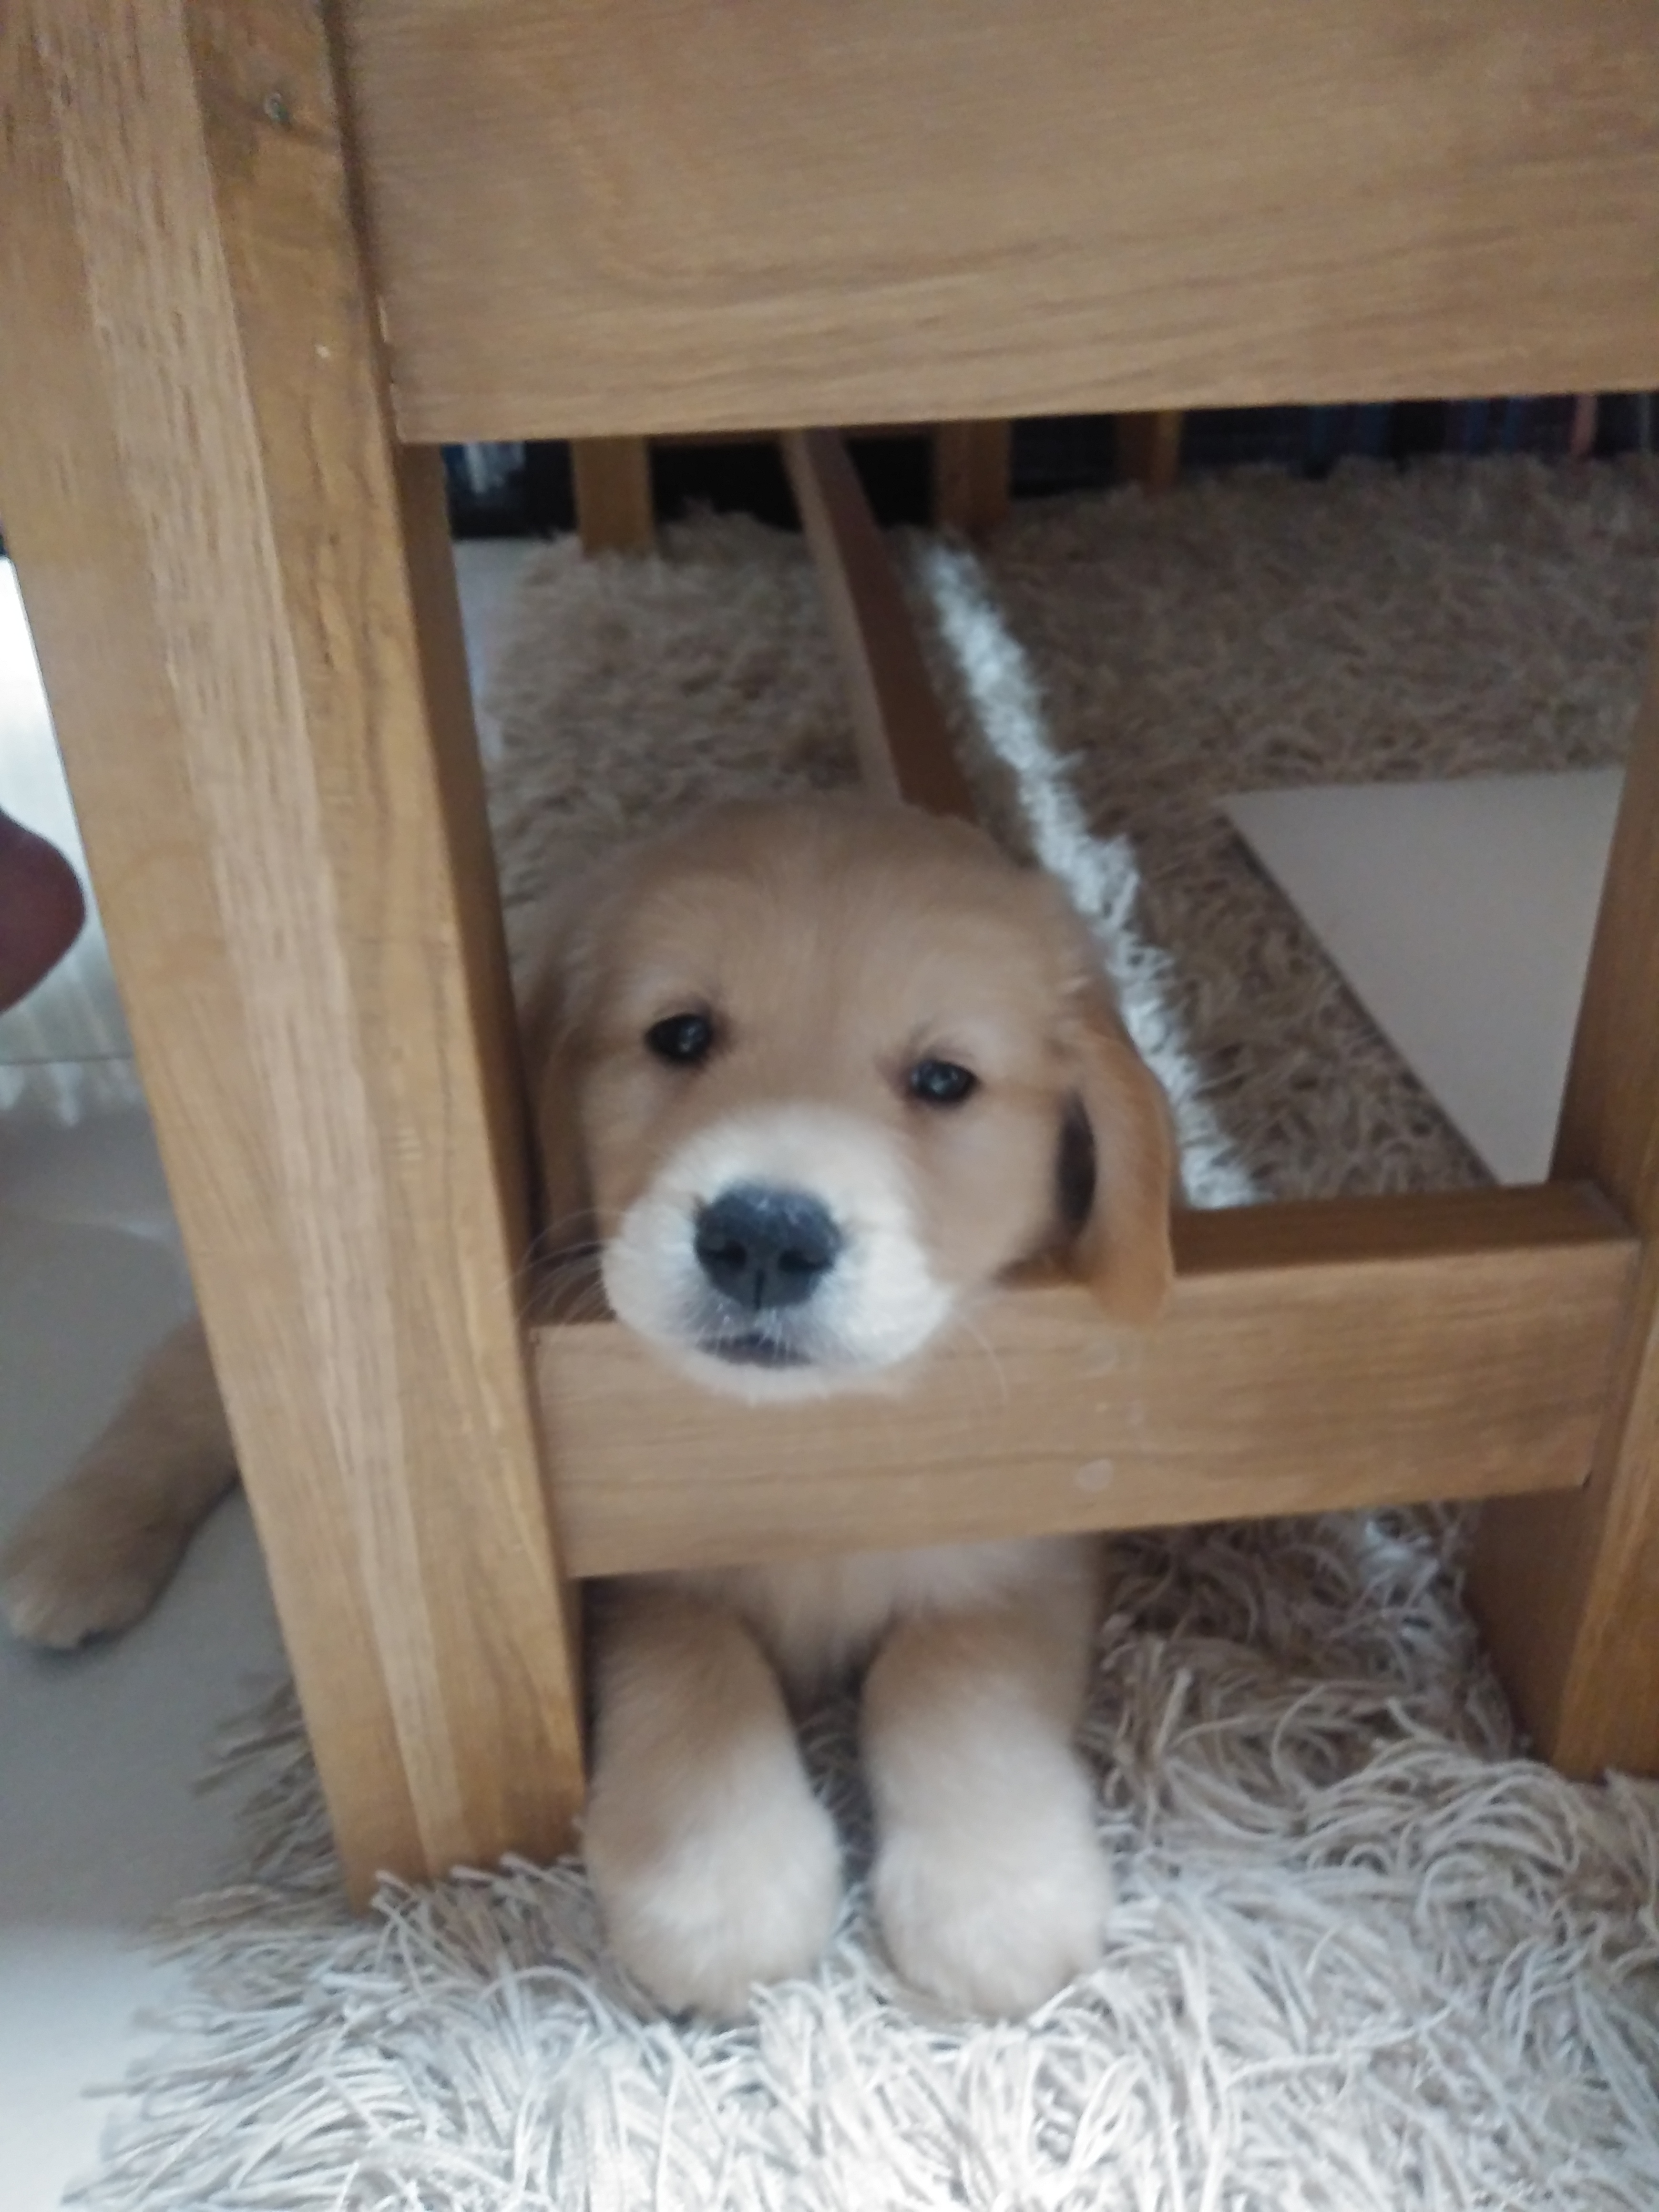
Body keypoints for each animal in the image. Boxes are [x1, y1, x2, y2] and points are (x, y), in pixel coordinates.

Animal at [1, 796, 1175, 2019]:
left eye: (944, 1081)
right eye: (681, 1035)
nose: (763, 1238)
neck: (797, 1433)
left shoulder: (1025, 1546)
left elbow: (950, 1679)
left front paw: (996, 1889)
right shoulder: (619, 1571)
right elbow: (697, 1664)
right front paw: (722, 1882)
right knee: (185, 1379)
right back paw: (77, 1547)